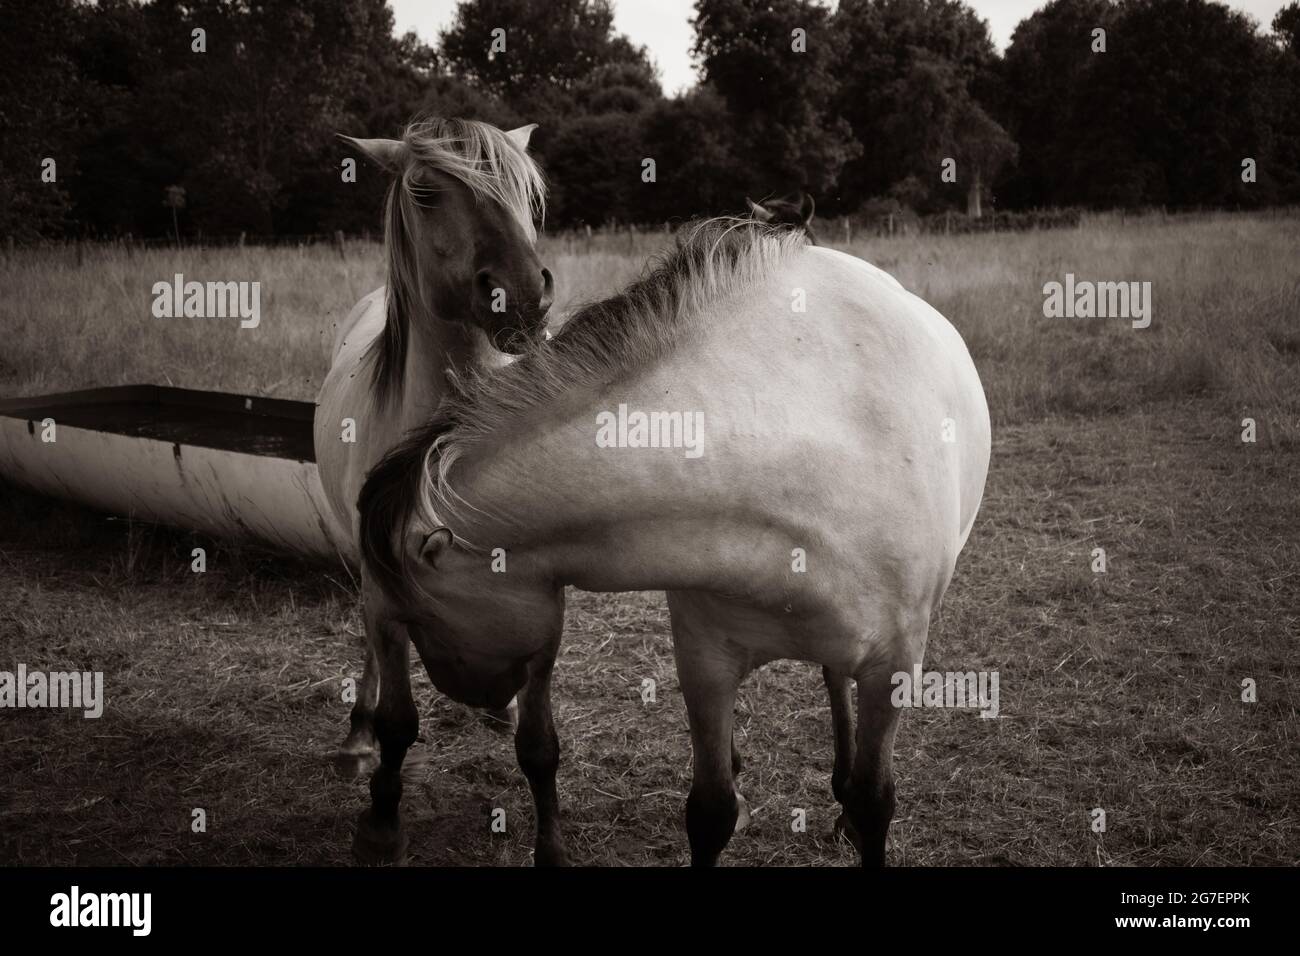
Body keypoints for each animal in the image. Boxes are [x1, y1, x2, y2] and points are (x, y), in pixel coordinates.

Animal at [318, 119, 553, 780]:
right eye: (424, 193)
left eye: (528, 192)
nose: (523, 297)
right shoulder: (382, 581)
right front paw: (366, 738)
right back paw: (357, 736)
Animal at [351, 218, 987, 868]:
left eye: (418, 616)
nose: (473, 697)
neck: (800, 453)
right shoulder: (705, 661)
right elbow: (710, 811)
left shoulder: (893, 666)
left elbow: (875, 800)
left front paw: (857, 815)